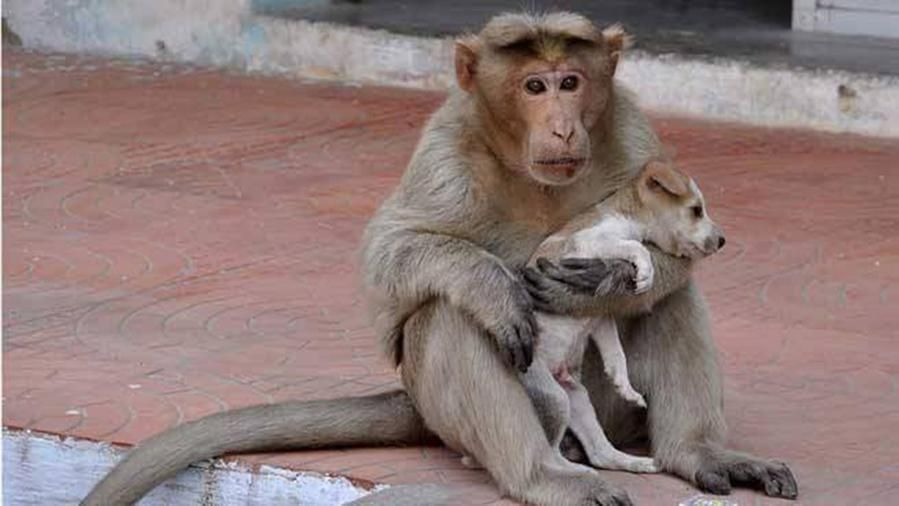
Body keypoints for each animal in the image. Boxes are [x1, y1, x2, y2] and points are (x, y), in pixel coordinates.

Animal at [81, 12, 797, 506]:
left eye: (572, 82)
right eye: (534, 86)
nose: (562, 124)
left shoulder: (631, 126)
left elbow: (668, 270)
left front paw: (608, 282)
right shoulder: (447, 145)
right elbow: (392, 256)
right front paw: (510, 285)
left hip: (602, 409)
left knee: (669, 304)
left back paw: (692, 453)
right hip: (482, 408)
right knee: (449, 316)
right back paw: (543, 472)